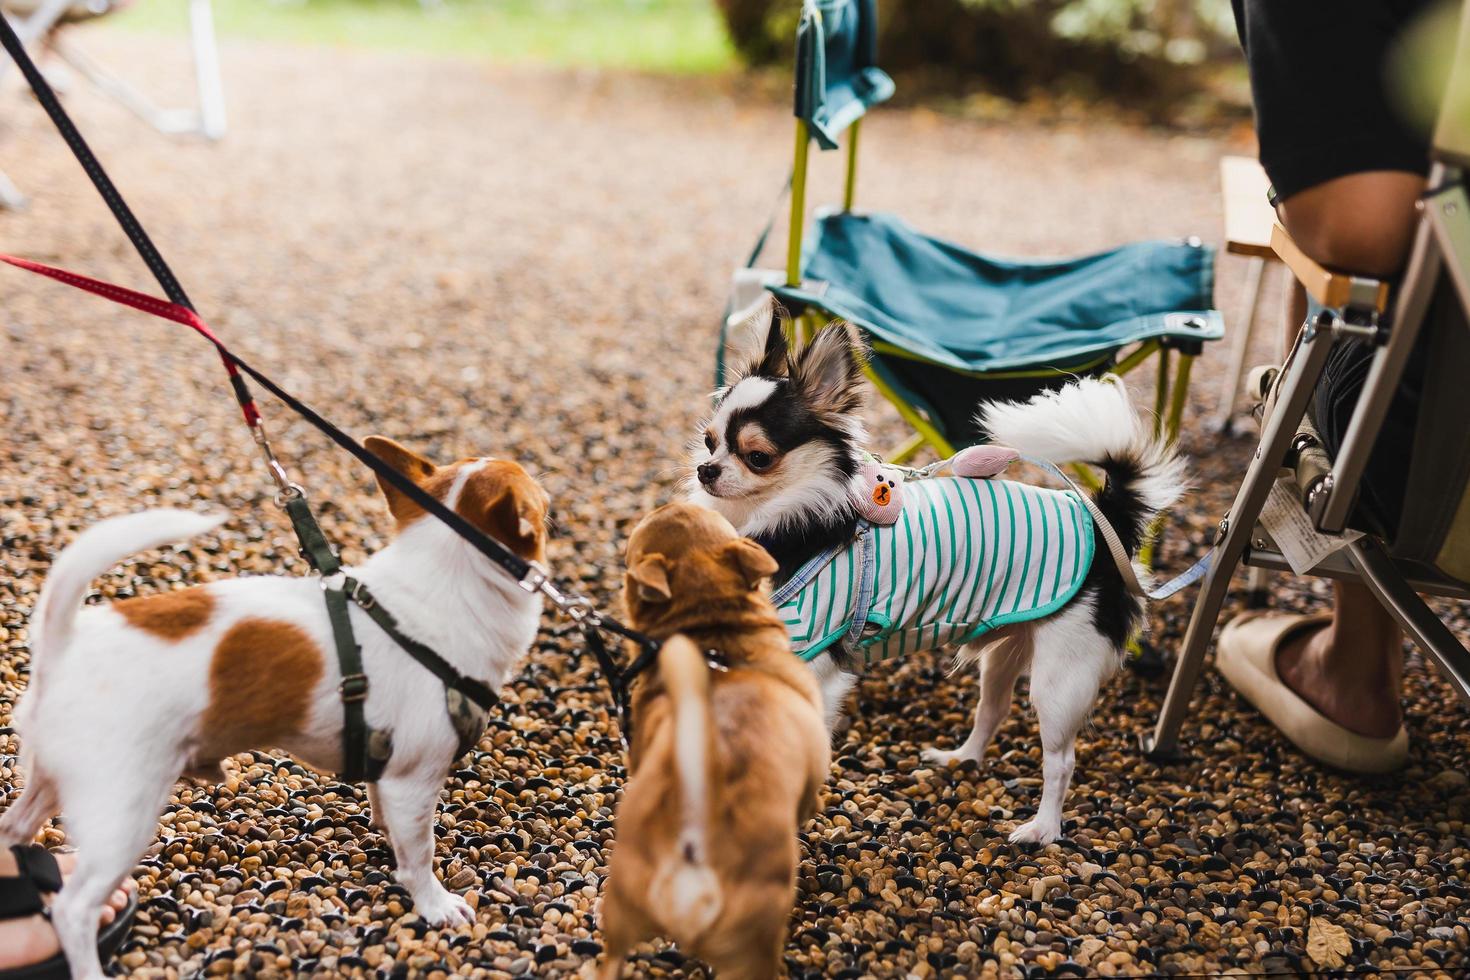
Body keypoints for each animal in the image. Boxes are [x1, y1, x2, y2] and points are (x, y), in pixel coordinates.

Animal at [0, 437, 549, 980]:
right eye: (540, 498)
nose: (549, 494)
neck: (438, 587)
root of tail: (63, 646)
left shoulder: (388, 768)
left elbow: (384, 809)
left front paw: (383, 831)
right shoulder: (415, 779)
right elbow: (419, 853)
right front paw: (434, 904)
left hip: (53, 783)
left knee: (13, 831)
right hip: (122, 811)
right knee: (74, 910)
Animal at [687, 308, 1181, 846]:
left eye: (757, 456)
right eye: (710, 441)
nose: (705, 469)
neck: (789, 515)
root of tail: (1101, 516)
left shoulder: (814, 657)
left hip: (1061, 677)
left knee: (1061, 760)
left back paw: (1043, 828)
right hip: (1010, 649)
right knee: (992, 710)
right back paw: (960, 758)